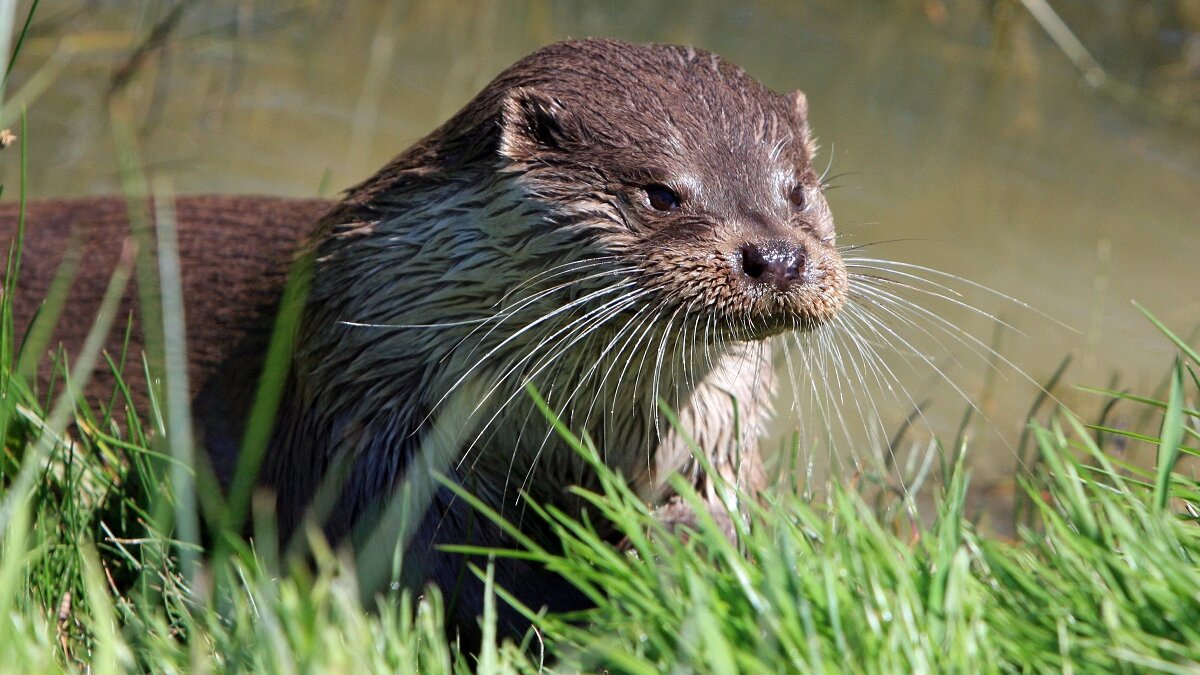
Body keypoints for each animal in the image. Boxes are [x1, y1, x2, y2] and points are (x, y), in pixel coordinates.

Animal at [0, 39, 849, 638]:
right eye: (662, 193)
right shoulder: (368, 421)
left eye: (797, 191)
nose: (778, 256)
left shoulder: (716, 431)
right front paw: (575, 596)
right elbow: (430, 560)